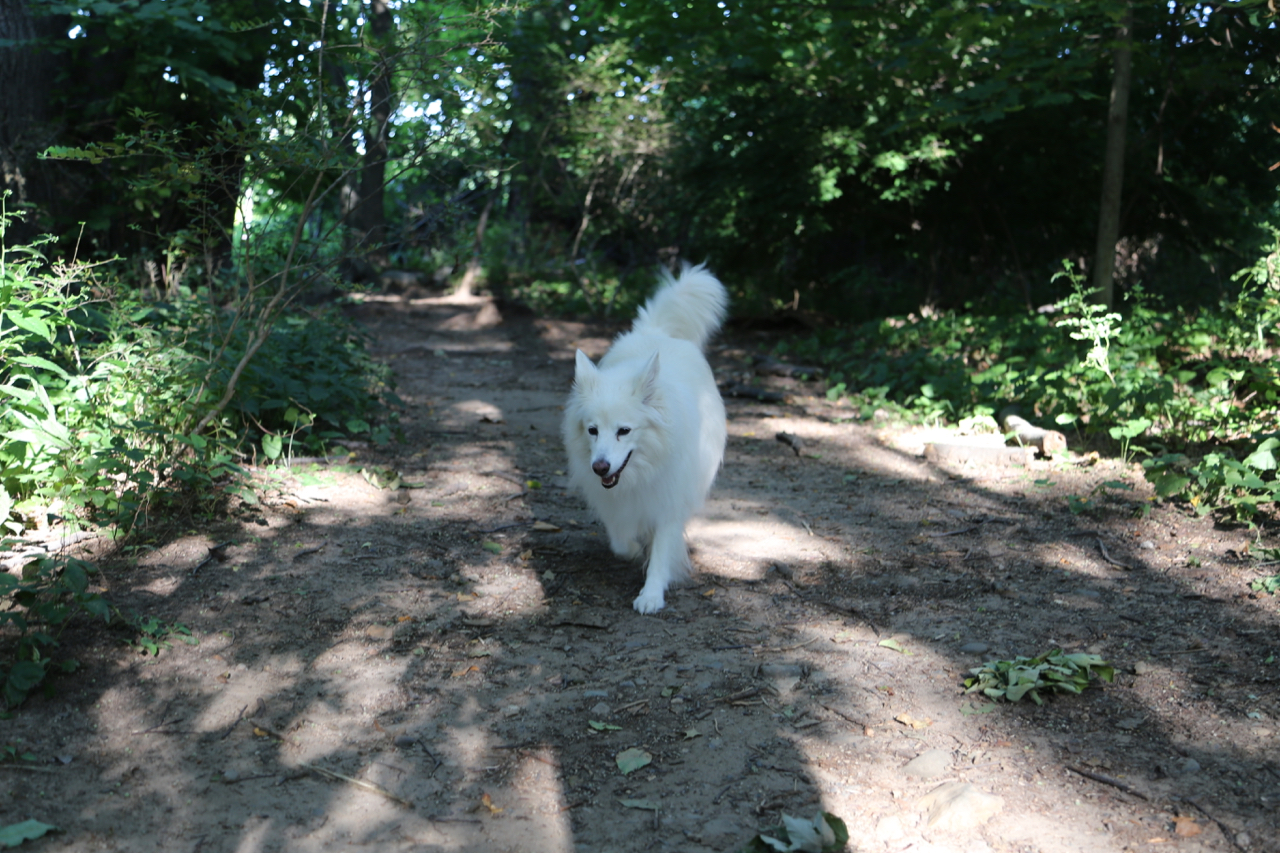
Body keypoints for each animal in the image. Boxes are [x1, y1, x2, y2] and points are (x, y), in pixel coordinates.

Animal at [563, 262, 732, 607]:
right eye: (592, 430)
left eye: (624, 431)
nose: (599, 467)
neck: (642, 470)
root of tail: (657, 332)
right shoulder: (611, 501)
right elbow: (620, 540)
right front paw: (633, 550)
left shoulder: (669, 500)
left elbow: (662, 548)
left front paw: (652, 594)